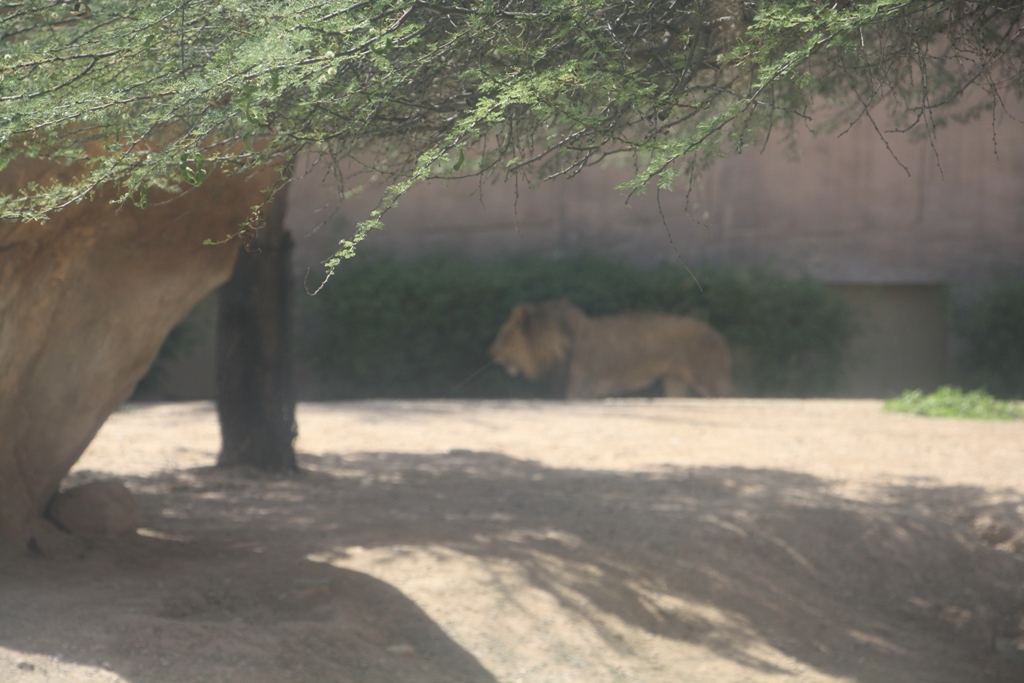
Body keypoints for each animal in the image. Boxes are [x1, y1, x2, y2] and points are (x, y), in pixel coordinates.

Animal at [485, 301, 729, 401]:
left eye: (504, 334)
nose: (491, 352)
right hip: (675, 381)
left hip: (710, 382)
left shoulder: (579, 392)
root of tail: (718, 334)